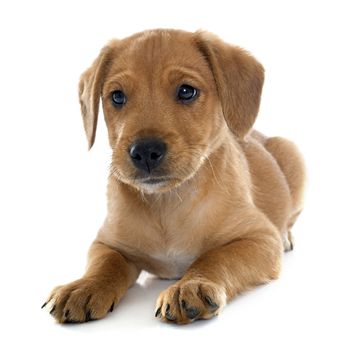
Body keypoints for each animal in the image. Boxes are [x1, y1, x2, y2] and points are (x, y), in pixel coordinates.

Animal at [44, 28, 306, 324]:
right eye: (117, 96)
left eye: (186, 91)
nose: (145, 151)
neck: (167, 203)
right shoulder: (107, 243)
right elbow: (104, 264)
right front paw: (84, 287)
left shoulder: (259, 237)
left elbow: (216, 258)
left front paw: (191, 285)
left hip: (293, 156)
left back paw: (287, 236)